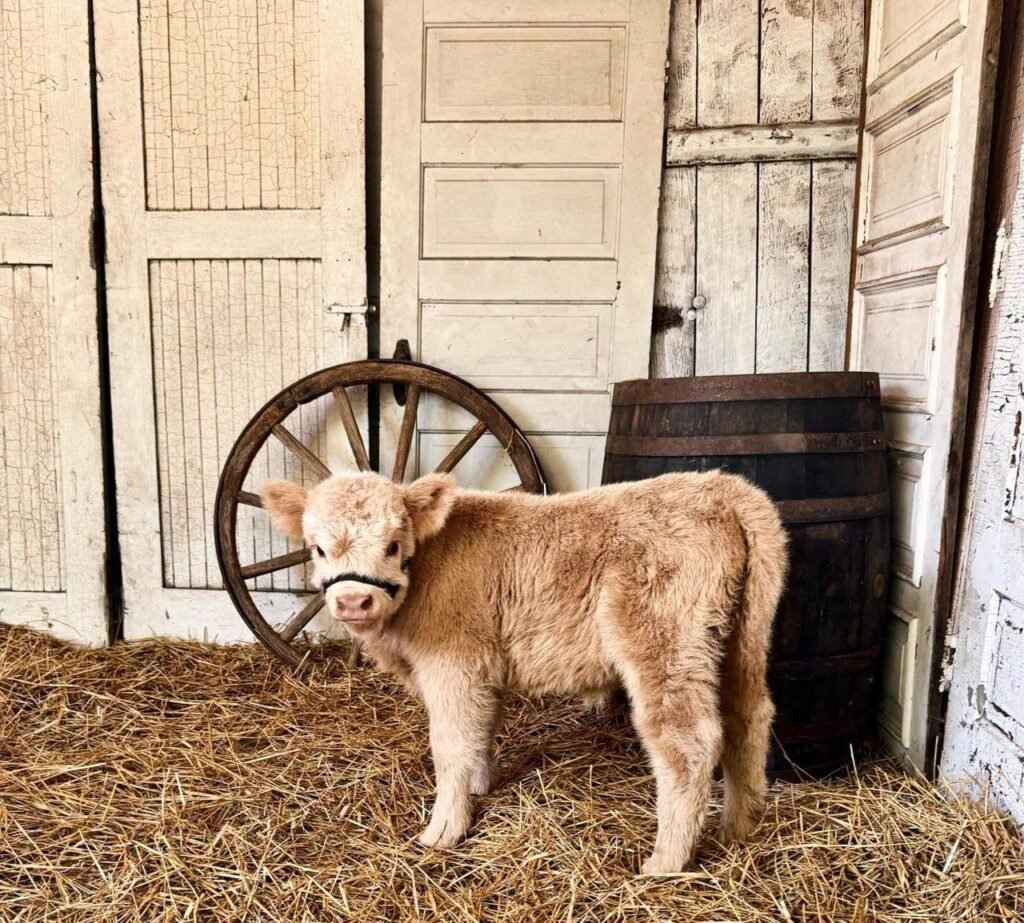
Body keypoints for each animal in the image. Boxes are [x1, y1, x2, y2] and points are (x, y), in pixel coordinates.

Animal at [260, 470, 788, 874]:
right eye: (317, 549)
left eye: (392, 545)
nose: (353, 601)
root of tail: (720, 486)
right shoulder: (484, 667)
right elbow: (482, 730)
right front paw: (479, 786)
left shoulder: (454, 662)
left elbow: (451, 744)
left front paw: (444, 830)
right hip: (740, 637)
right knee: (750, 716)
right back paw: (740, 828)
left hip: (665, 642)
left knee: (688, 741)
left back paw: (666, 861)